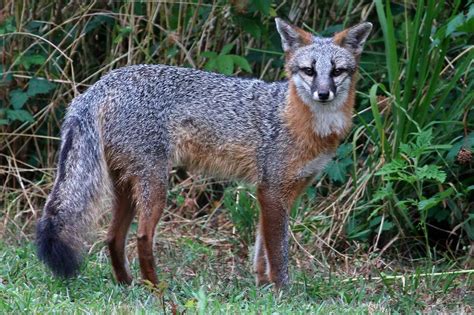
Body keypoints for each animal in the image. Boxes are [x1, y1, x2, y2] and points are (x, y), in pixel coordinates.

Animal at [36, 17, 370, 288]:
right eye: (309, 71)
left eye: (337, 72)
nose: (323, 93)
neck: (301, 121)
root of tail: (100, 85)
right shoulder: (273, 192)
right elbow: (278, 254)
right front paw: (282, 292)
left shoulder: (279, 193)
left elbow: (261, 251)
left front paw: (263, 288)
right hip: (156, 185)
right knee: (142, 238)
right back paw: (157, 289)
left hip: (127, 189)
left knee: (112, 238)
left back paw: (128, 286)